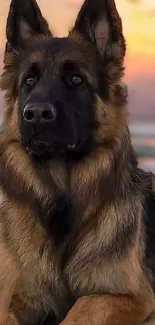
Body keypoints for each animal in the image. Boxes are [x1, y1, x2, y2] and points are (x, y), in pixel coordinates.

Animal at [0, 0, 155, 322]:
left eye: (76, 79)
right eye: (29, 81)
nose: (36, 114)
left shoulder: (129, 295)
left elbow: (83, 307)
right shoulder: (15, 297)